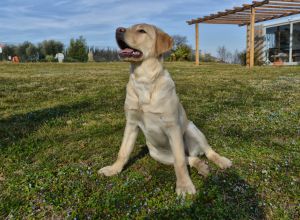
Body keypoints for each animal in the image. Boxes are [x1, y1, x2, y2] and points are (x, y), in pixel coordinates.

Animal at [98, 24, 232, 196]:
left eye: (141, 31)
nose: (118, 29)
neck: (144, 80)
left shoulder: (172, 127)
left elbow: (180, 162)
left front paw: (184, 186)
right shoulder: (131, 123)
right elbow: (123, 151)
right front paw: (113, 169)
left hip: (192, 129)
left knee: (205, 152)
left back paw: (221, 161)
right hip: (157, 154)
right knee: (190, 158)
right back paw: (202, 166)